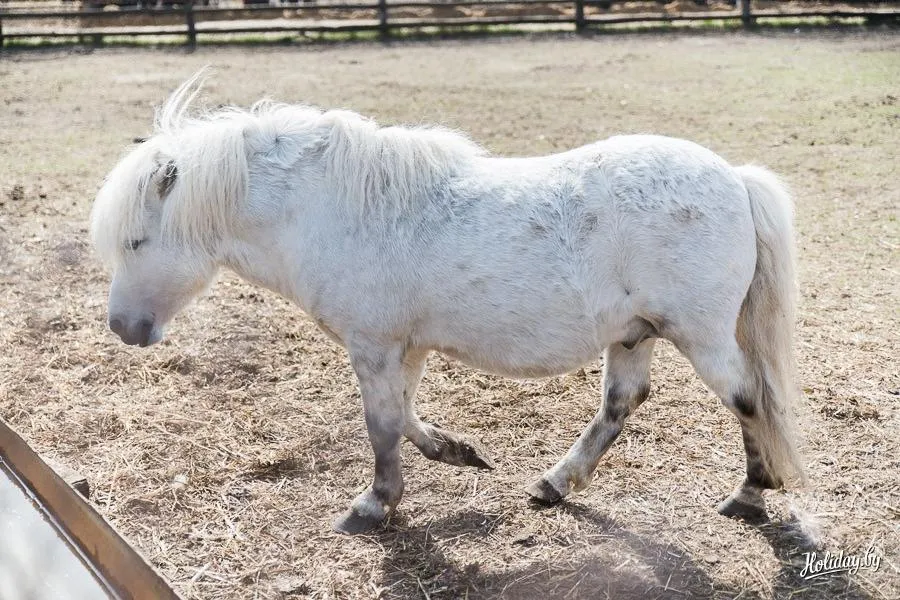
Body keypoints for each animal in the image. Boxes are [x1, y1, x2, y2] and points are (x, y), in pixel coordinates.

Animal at [93, 76, 808, 536]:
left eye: (136, 240)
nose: (123, 327)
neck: (331, 211)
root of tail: (735, 179)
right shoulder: (401, 348)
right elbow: (404, 416)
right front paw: (456, 451)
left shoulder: (375, 345)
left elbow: (381, 426)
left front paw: (375, 505)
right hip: (634, 334)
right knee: (621, 405)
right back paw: (554, 483)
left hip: (700, 335)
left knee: (748, 397)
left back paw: (750, 493)